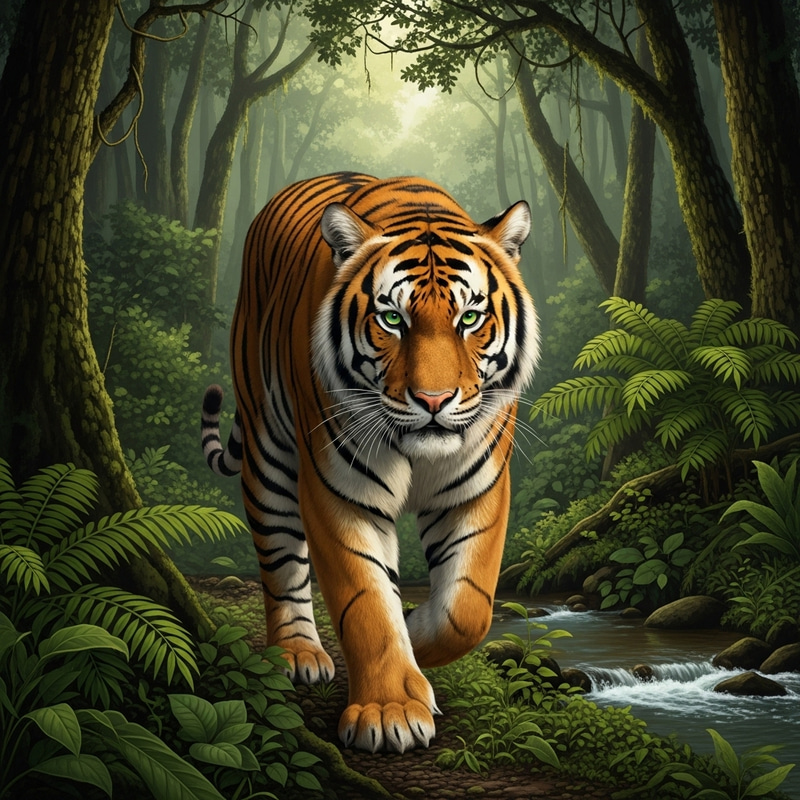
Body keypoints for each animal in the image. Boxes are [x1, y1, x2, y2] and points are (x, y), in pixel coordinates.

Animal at [201, 172, 539, 754]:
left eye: (470, 318)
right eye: (392, 319)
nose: (433, 400)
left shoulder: (478, 489)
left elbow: (467, 611)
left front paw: (417, 639)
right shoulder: (338, 491)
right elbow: (366, 603)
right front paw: (389, 712)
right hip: (267, 450)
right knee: (280, 557)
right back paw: (297, 653)